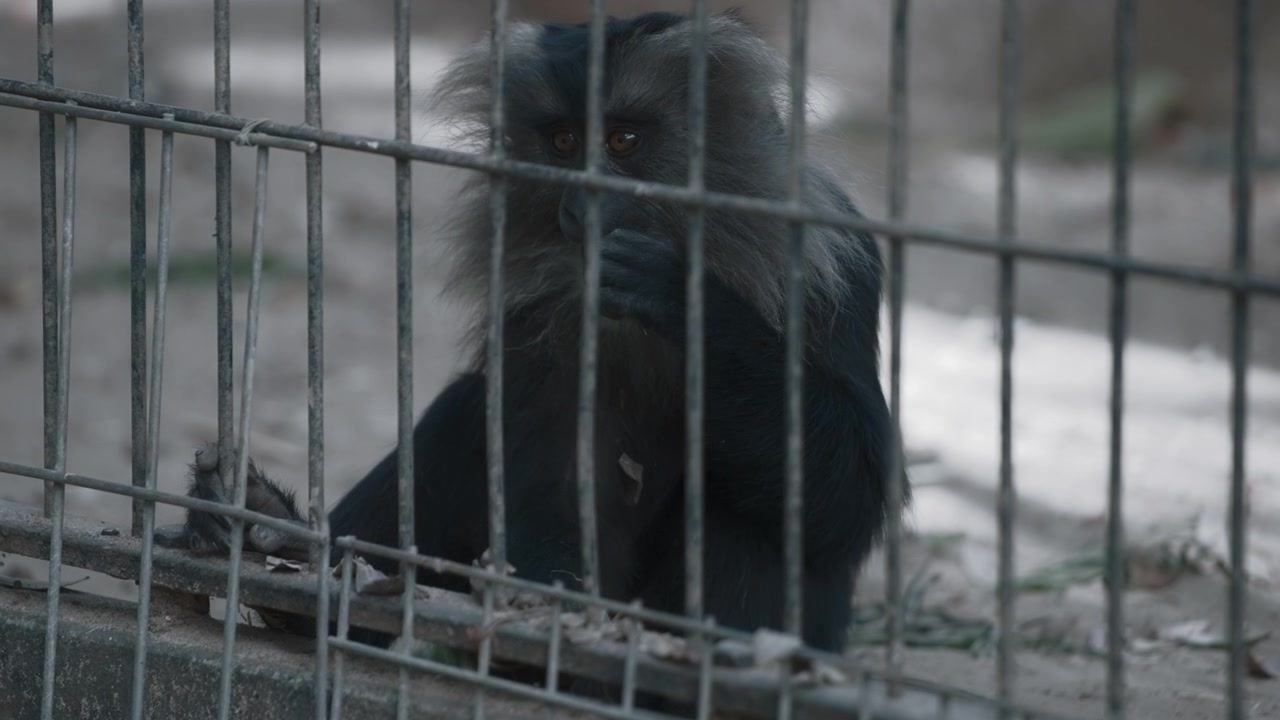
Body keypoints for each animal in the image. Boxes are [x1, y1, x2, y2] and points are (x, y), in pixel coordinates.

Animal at [156, 9, 900, 661]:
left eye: (623, 142)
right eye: (566, 144)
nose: (583, 203)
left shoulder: (836, 270)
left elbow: (849, 488)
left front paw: (680, 291)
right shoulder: (535, 321)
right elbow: (549, 489)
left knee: (752, 503)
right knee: (465, 413)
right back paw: (275, 547)